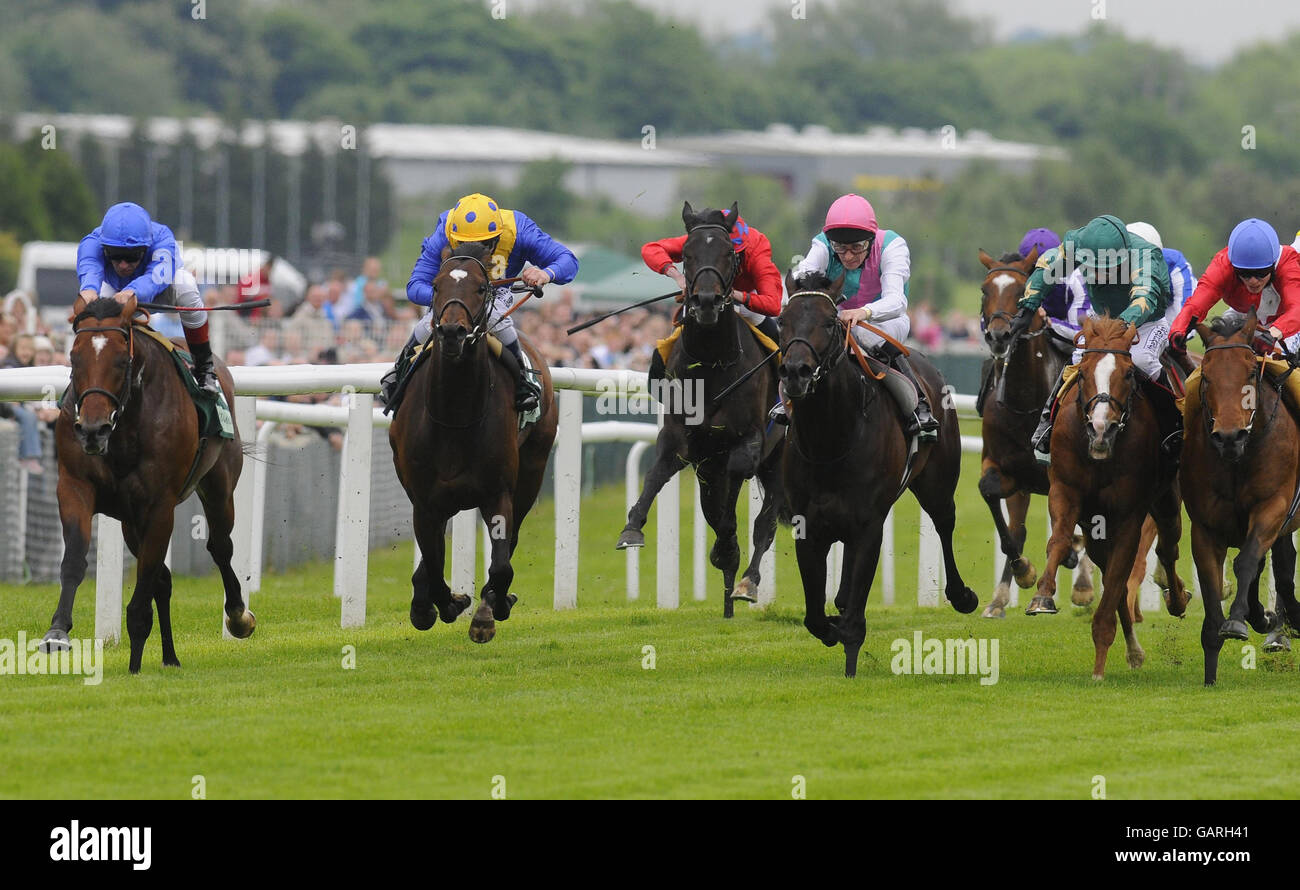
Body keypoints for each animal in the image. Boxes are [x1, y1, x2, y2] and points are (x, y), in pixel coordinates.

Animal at [39, 294, 253, 670]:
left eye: (121, 360)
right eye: (74, 357)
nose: (92, 430)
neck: (123, 429)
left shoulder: (159, 506)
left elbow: (145, 581)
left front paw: (135, 663)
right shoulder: (75, 487)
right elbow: (76, 558)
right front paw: (57, 632)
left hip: (218, 486)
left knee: (220, 546)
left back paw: (238, 616)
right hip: (129, 521)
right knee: (163, 579)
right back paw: (169, 657)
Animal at [387, 239, 556, 641]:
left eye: (481, 288)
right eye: (435, 286)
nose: (452, 332)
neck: (454, 416)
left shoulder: (498, 493)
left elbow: (501, 564)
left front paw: (487, 610)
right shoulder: (425, 501)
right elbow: (434, 564)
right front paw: (440, 605)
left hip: (532, 471)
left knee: (510, 542)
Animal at [769, 270, 977, 675]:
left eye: (830, 322)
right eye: (782, 321)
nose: (796, 372)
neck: (831, 440)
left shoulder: (869, 524)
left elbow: (853, 618)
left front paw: (849, 646)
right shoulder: (808, 525)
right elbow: (814, 617)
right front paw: (833, 623)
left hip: (938, 484)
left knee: (945, 524)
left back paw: (962, 595)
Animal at [1024, 315, 1190, 675]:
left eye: (1128, 374)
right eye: (1082, 372)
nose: (1102, 428)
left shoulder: (1130, 514)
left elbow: (1118, 577)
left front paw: (1099, 667)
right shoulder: (1065, 491)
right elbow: (1059, 541)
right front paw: (1042, 597)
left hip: (1166, 500)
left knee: (1167, 548)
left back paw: (1176, 599)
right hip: (1094, 527)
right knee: (1110, 566)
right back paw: (1134, 649)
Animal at [1180, 315, 1300, 686]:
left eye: (1250, 373)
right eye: (1206, 375)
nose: (1229, 436)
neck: (1239, 459)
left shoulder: (1272, 507)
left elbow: (1246, 561)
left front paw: (1236, 621)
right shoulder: (1204, 528)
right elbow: (1212, 586)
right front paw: (1210, 674)